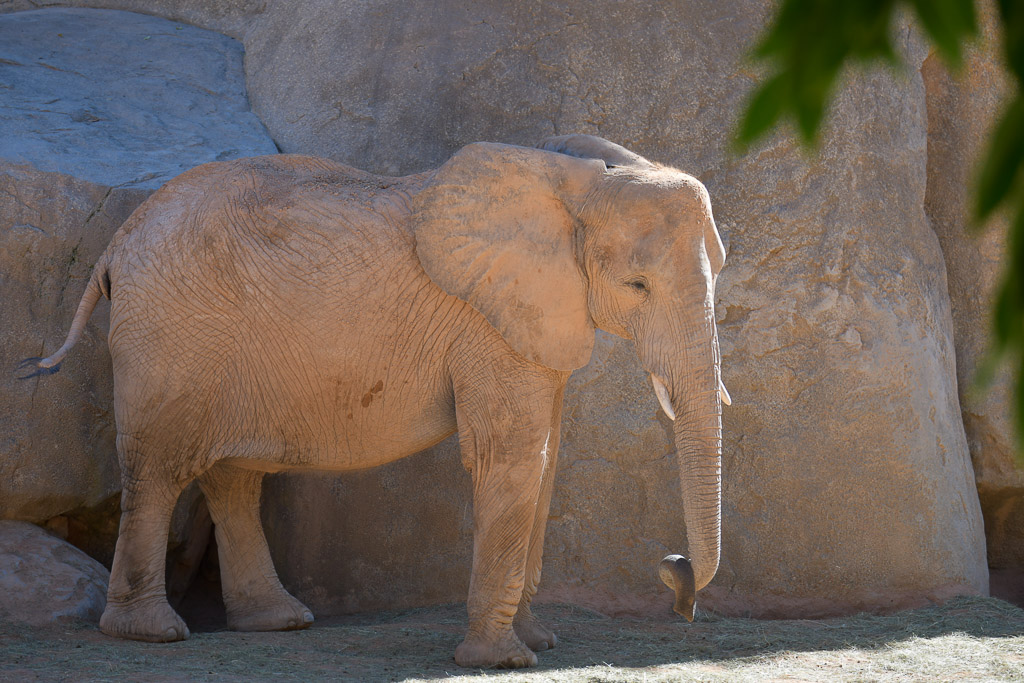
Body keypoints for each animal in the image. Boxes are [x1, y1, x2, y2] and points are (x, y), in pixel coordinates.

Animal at [20, 134, 728, 668]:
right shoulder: (487, 319)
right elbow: (513, 459)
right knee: (158, 468)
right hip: (167, 335)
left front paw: (538, 643)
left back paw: (280, 622)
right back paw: (153, 633)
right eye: (637, 285)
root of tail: (115, 245)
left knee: (231, 475)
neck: (571, 175)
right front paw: (503, 660)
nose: (676, 574)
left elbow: (545, 466)